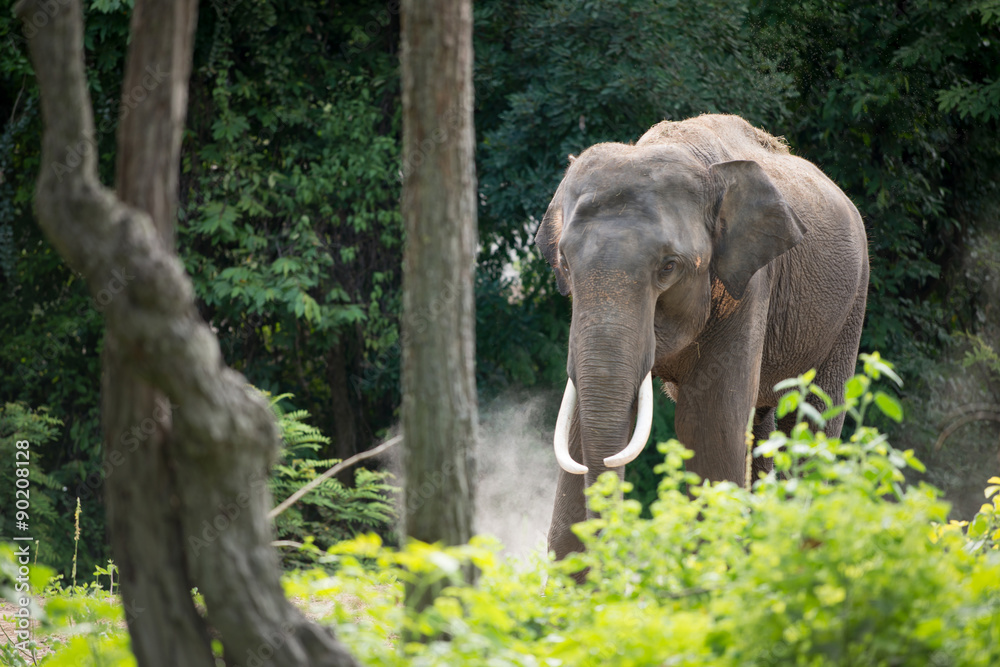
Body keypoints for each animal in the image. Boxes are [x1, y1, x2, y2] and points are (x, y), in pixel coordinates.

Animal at [535, 114, 869, 560]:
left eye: (668, 267)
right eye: (565, 263)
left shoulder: (749, 285)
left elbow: (709, 424)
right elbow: (576, 433)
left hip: (851, 304)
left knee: (812, 422)